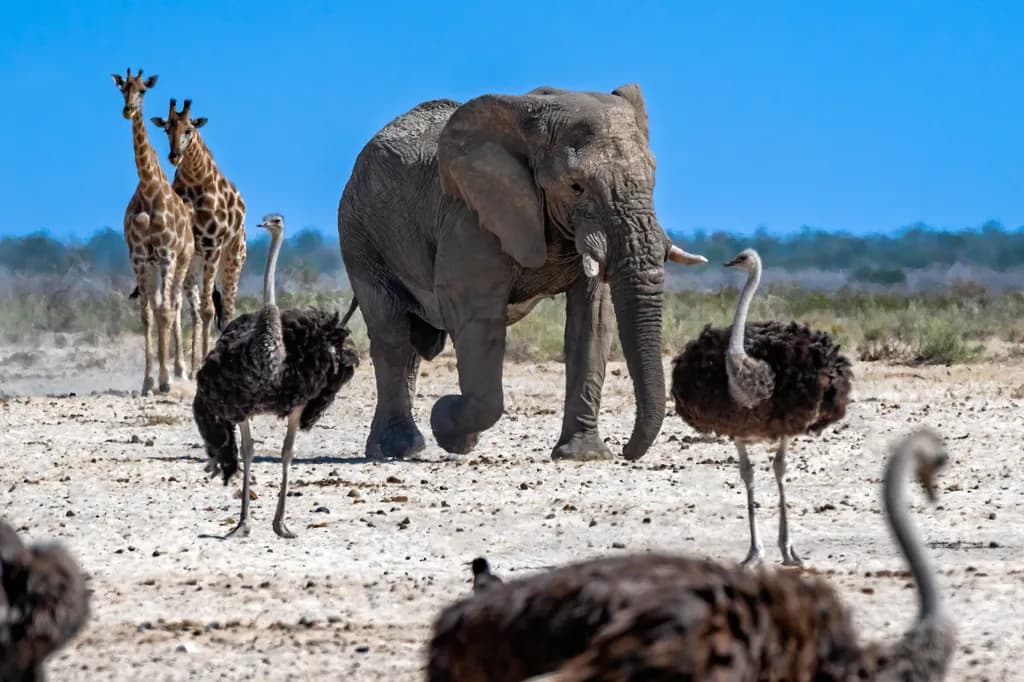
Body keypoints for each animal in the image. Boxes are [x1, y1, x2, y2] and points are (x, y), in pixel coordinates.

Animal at [112, 69, 197, 395]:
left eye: (143, 90)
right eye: (122, 88)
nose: (128, 109)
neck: (148, 189)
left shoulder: (168, 254)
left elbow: (165, 311)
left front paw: (164, 379)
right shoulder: (138, 256)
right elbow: (148, 314)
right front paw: (148, 381)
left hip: (183, 260)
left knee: (175, 305)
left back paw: (179, 371)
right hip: (153, 263)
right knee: (164, 304)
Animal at [152, 98, 247, 360]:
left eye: (189, 130)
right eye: (166, 129)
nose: (174, 156)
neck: (195, 181)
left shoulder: (213, 246)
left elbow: (208, 309)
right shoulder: (186, 250)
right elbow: (194, 310)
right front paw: (193, 362)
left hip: (232, 257)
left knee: (227, 308)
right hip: (195, 261)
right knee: (197, 309)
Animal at [337, 83, 706, 462]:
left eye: (653, 178)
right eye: (576, 186)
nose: (627, 451)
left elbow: (592, 321)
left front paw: (582, 454)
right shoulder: (471, 216)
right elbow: (475, 317)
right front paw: (447, 422)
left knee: (409, 341)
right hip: (359, 233)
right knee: (391, 333)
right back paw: (398, 448)